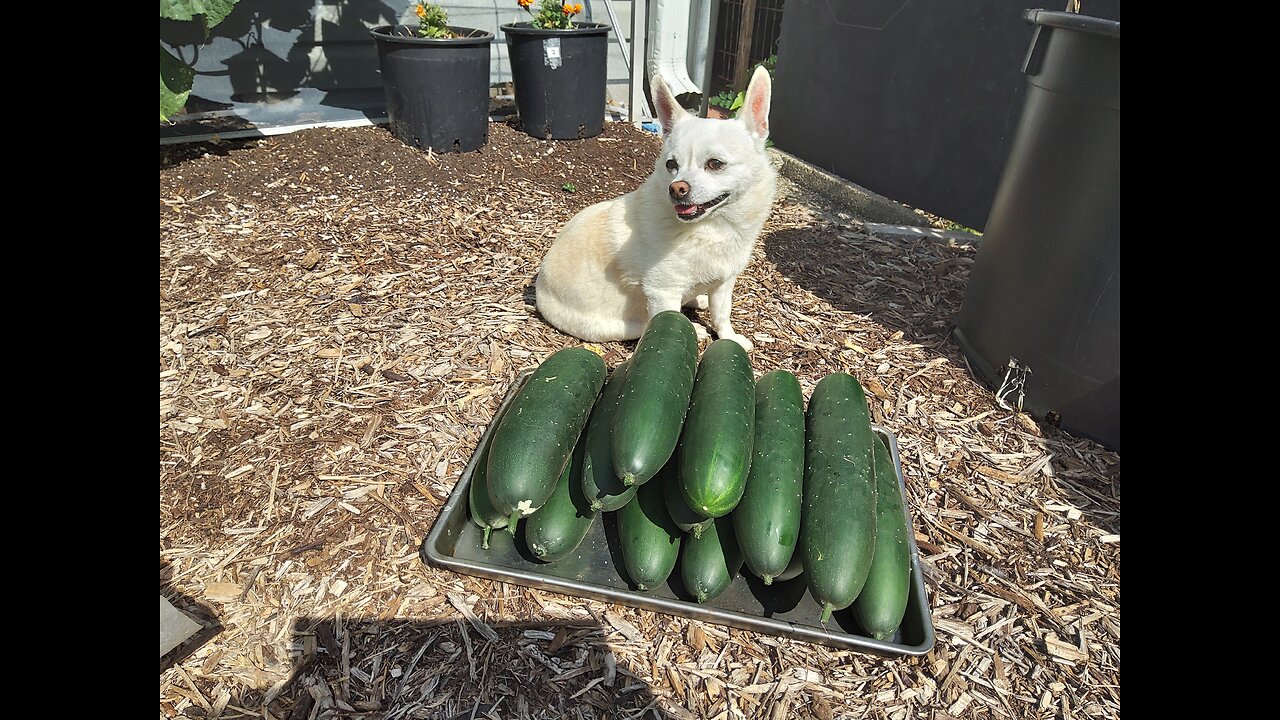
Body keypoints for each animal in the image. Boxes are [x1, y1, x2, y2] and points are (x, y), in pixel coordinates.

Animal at [532, 65, 773, 351]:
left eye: (715, 164)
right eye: (671, 165)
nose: (676, 188)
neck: (713, 229)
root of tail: (539, 290)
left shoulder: (725, 283)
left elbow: (722, 314)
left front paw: (729, 337)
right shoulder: (663, 293)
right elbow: (668, 321)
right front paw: (697, 329)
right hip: (620, 326)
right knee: (650, 324)